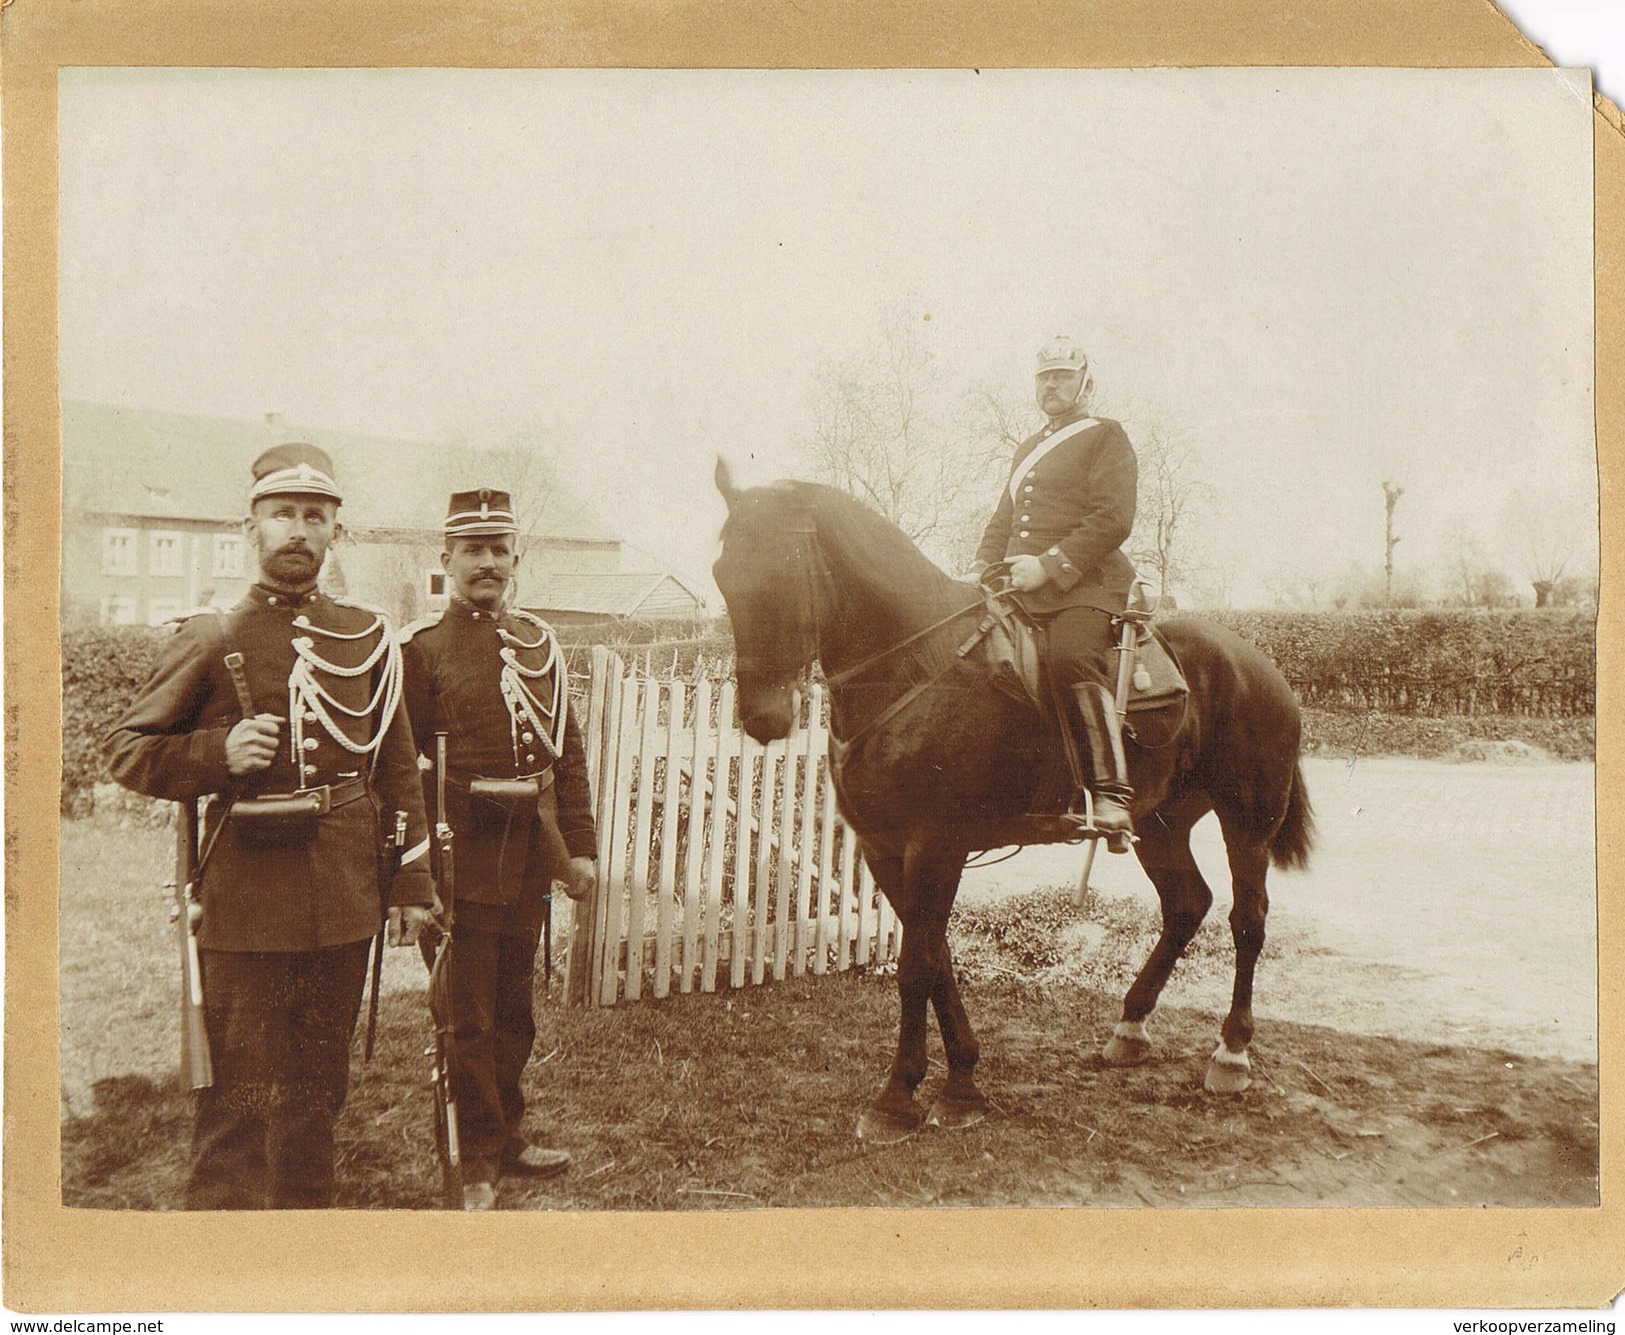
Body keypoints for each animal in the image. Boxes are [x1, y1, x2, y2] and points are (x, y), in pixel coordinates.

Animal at [711, 464, 1306, 1143]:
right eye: (723, 573)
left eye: (784, 567)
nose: (762, 717)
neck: (918, 663)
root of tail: (1259, 664)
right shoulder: (886, 851)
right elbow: (936, 957)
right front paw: (962, 1083)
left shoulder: (934, 847)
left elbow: (917, 965)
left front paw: (899, 1095)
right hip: (1160, 824)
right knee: (1186, 905)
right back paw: (1130, 1027)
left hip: (1248, 824)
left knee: (1247, 920)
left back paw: (1231, 1053)